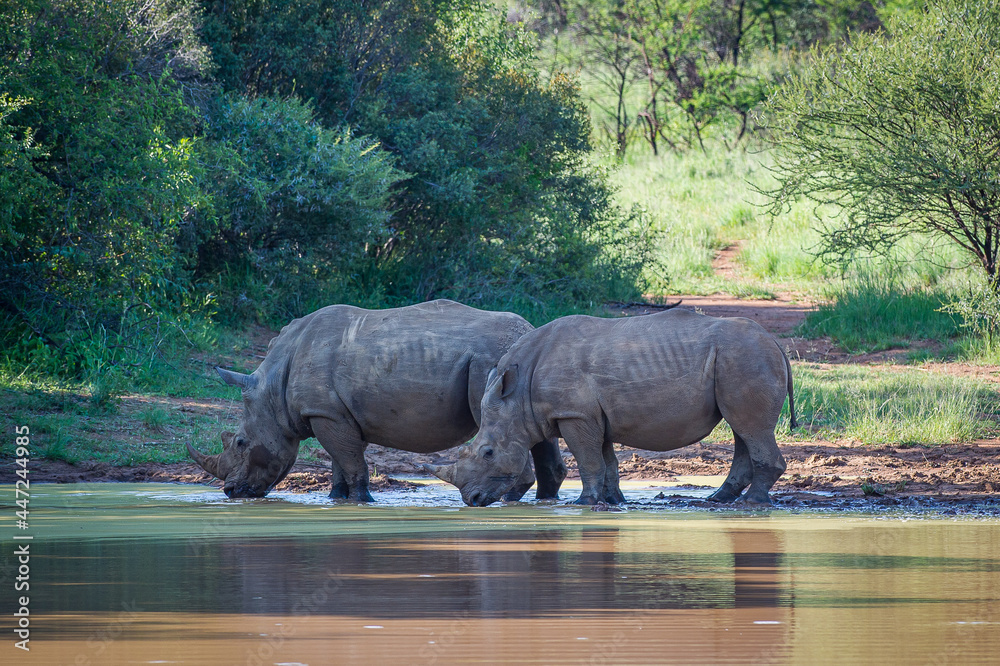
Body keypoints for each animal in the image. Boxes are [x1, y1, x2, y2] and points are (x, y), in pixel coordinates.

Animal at [187, 300, 567, 501]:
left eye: (240, 442)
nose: (231, 491)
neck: (271, 390)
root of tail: (528, 332)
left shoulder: (324, 413)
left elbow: (351, 462)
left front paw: (363, 501)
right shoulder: (332, 413)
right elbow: (340, 459)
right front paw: (336, 499)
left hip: (490, 361)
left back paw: (505, 500)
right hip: (515, 369)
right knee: (534, 431)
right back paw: (545, 502)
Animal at [427, 308, 796, 506]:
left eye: (488, 453)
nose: (472, 500)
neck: (516, 397)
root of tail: (776, 343)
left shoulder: (574, 414)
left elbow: (588, 459)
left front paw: (584, 502)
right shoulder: (592, 415)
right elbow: (606, 461)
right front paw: (614, 500)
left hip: (746, 358)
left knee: (750, 428)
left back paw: (751, 502)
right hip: (742, 359)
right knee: (742, 431)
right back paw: (718, 500)